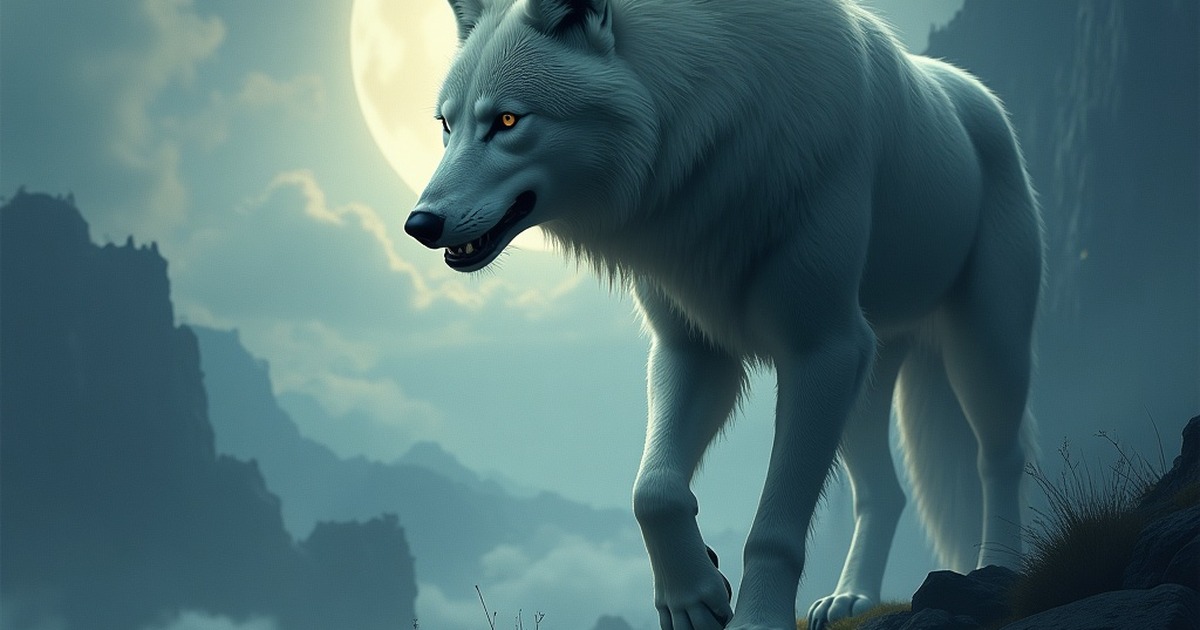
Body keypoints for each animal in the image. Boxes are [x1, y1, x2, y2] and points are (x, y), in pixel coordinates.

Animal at [402, 0, 1043, 628]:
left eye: (508, 121)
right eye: (446, 125)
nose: (418, 224)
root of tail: (978, 94)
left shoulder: (822, 349)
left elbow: (774, 529)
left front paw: (756, 619)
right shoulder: (694, 348)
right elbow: (653, 490)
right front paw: (692, 596)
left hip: (984, 351)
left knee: (1000, 459)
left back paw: (999, 571)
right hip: (867, 380)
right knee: (884, 492)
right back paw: (851, 599)